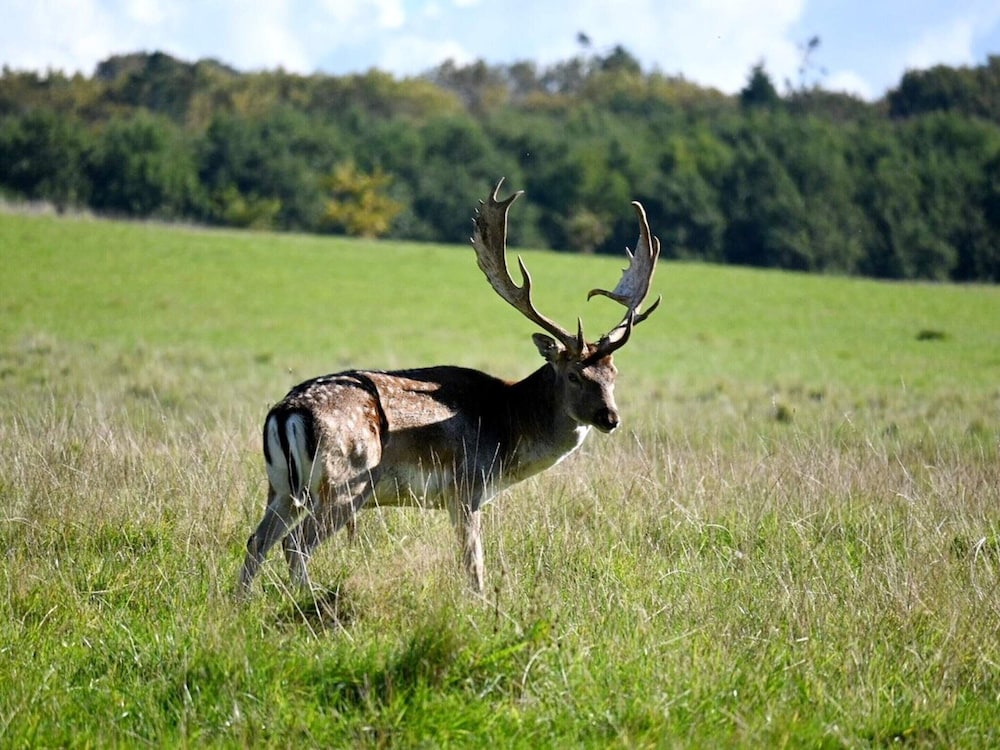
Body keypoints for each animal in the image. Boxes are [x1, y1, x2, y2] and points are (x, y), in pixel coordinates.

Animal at [238, 179, 660, 597]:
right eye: (573, 374)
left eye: (613, 373)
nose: (610, 418)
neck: (509, 429)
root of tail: (287, 412)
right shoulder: (466, 487)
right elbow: (473, 566)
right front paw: (481, 604)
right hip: (345, 482)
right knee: (295, 543)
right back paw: (306, 600)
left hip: (282, 487)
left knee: (257, 541)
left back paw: (242, 604)